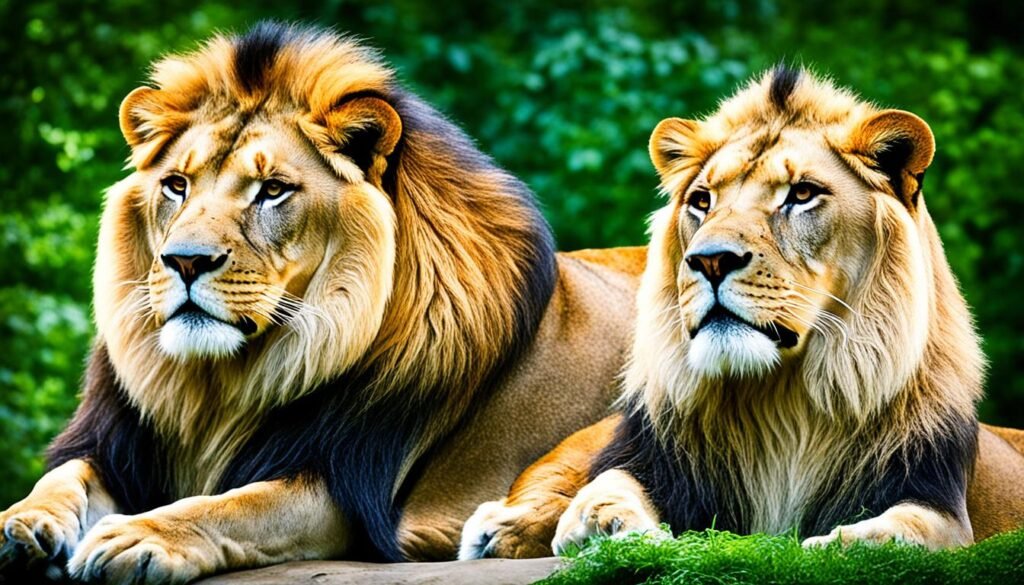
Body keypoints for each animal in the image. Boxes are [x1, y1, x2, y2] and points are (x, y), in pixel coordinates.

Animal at [0, 20, 647, 581]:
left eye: (272, 190)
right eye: (176, 185)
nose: (184, 260)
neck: (219, 387)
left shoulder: (344, 489)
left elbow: (231, 506)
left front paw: (139, 536)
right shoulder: (115, 448)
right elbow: (64, 478)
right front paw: (20, 524)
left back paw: (511, 530)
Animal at [460, 65, 1024, 561]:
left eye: (802, 194)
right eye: (702, 200)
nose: (710, 260)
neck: (782, 401)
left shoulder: (936, 499)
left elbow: (910, 532)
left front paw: (835, 543)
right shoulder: (650, 460)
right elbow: (604, 488)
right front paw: (608, 528)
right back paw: (499, 530)